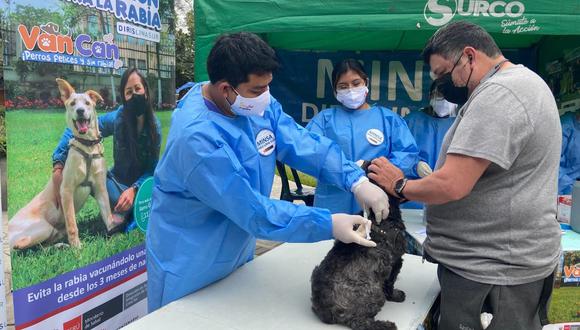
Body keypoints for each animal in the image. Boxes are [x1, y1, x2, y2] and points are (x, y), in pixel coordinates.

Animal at [310, 160, 406, 330]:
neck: (376, 216)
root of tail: (328, 311)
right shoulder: (395, 262)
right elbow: (390, 284)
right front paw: (396, 295)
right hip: (374, 294)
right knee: (360, 322)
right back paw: (385, 325)